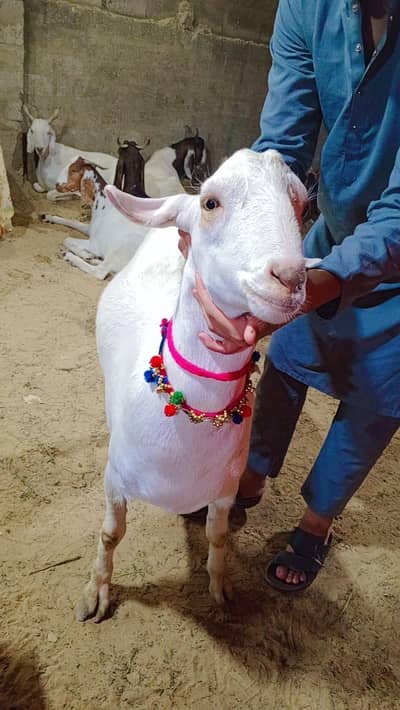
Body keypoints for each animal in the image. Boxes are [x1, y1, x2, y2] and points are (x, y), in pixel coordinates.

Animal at [75, 148, 315, 622]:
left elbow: (218, 537)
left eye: (300, 205)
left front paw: (222, 589)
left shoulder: (223, 492)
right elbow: (111, 534)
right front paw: (97, 592)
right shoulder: (114, 479)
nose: (290, 278)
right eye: (211, 203)